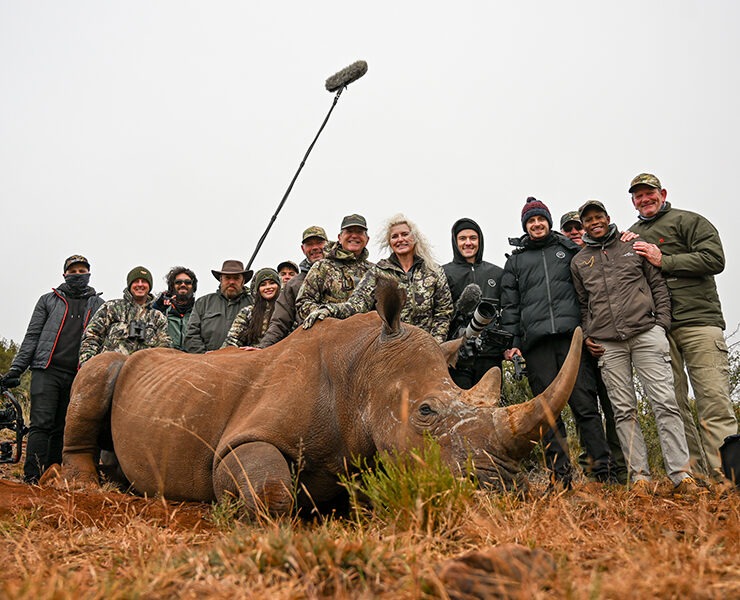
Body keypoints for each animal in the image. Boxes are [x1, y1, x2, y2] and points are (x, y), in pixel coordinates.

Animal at [60, 279, 582, 514]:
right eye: (425, 412)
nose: (509, 489)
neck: (364, 366)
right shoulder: (238, 439)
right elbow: (271, 490)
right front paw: (236, 508)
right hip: (111, 364)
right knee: (97, 373)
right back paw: (85, 488)